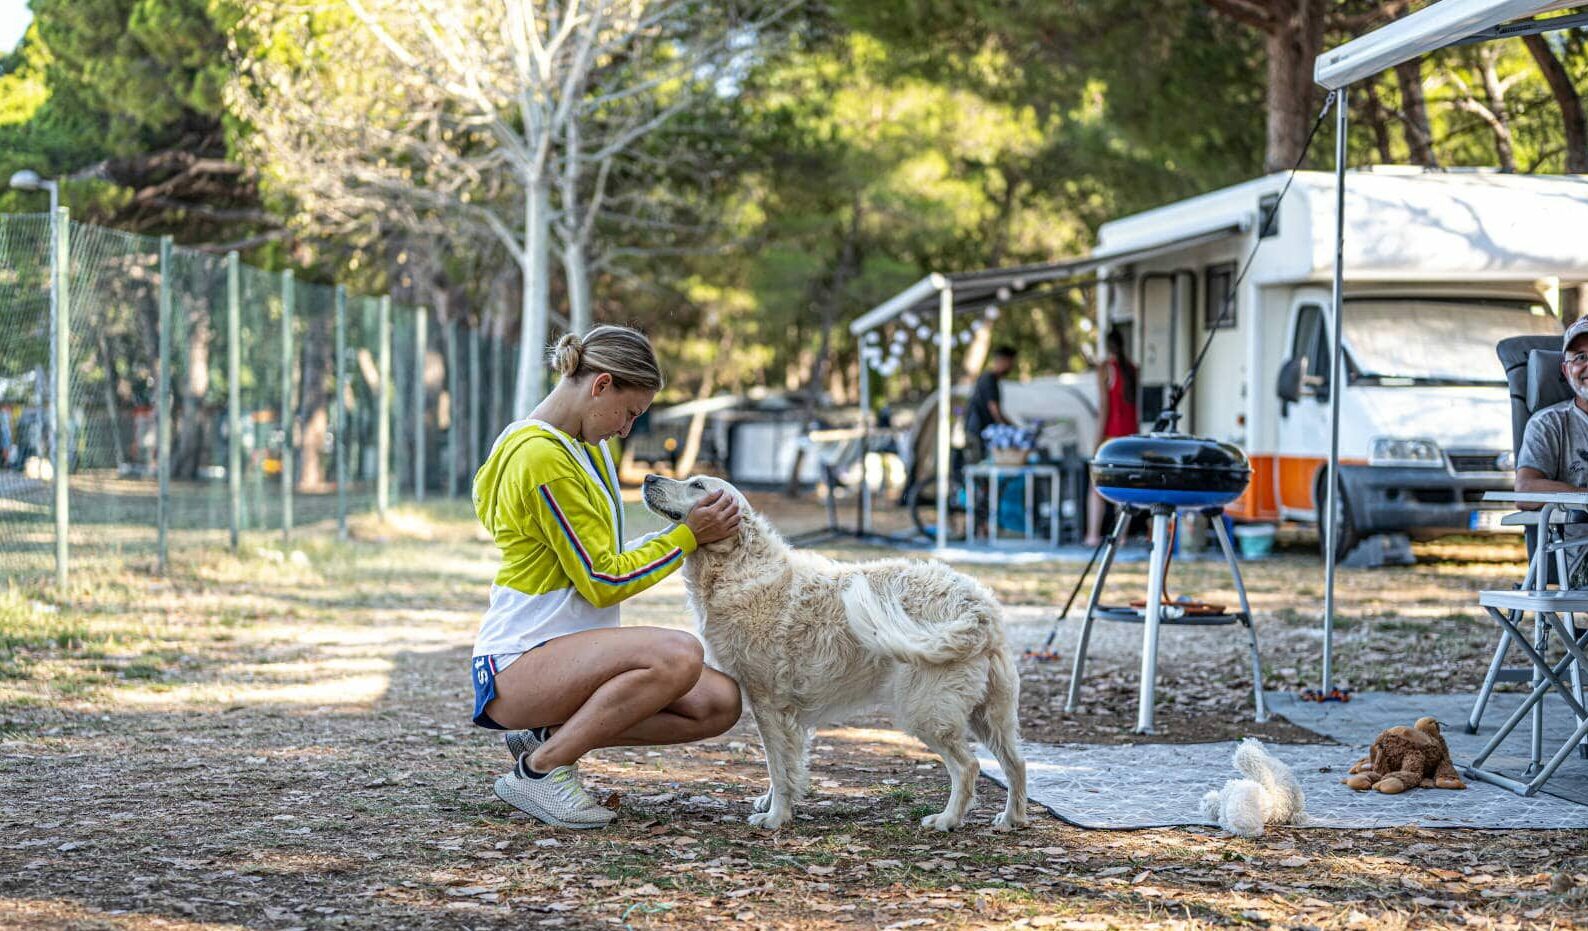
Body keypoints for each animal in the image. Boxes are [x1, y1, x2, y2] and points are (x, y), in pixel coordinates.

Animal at [641, 473, 1029, 832]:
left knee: (968, 766)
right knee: (1016, 762)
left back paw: (947, 820)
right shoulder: (782, 713)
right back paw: (1012, 818)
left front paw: (776, 817)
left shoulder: (769, 704)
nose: (648, 478)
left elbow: (778, 766)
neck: (740, 566)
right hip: (990, 713)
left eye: (697, 485)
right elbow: (786, 765)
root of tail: (976, 607)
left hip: (926, 710)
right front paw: (772, 803)